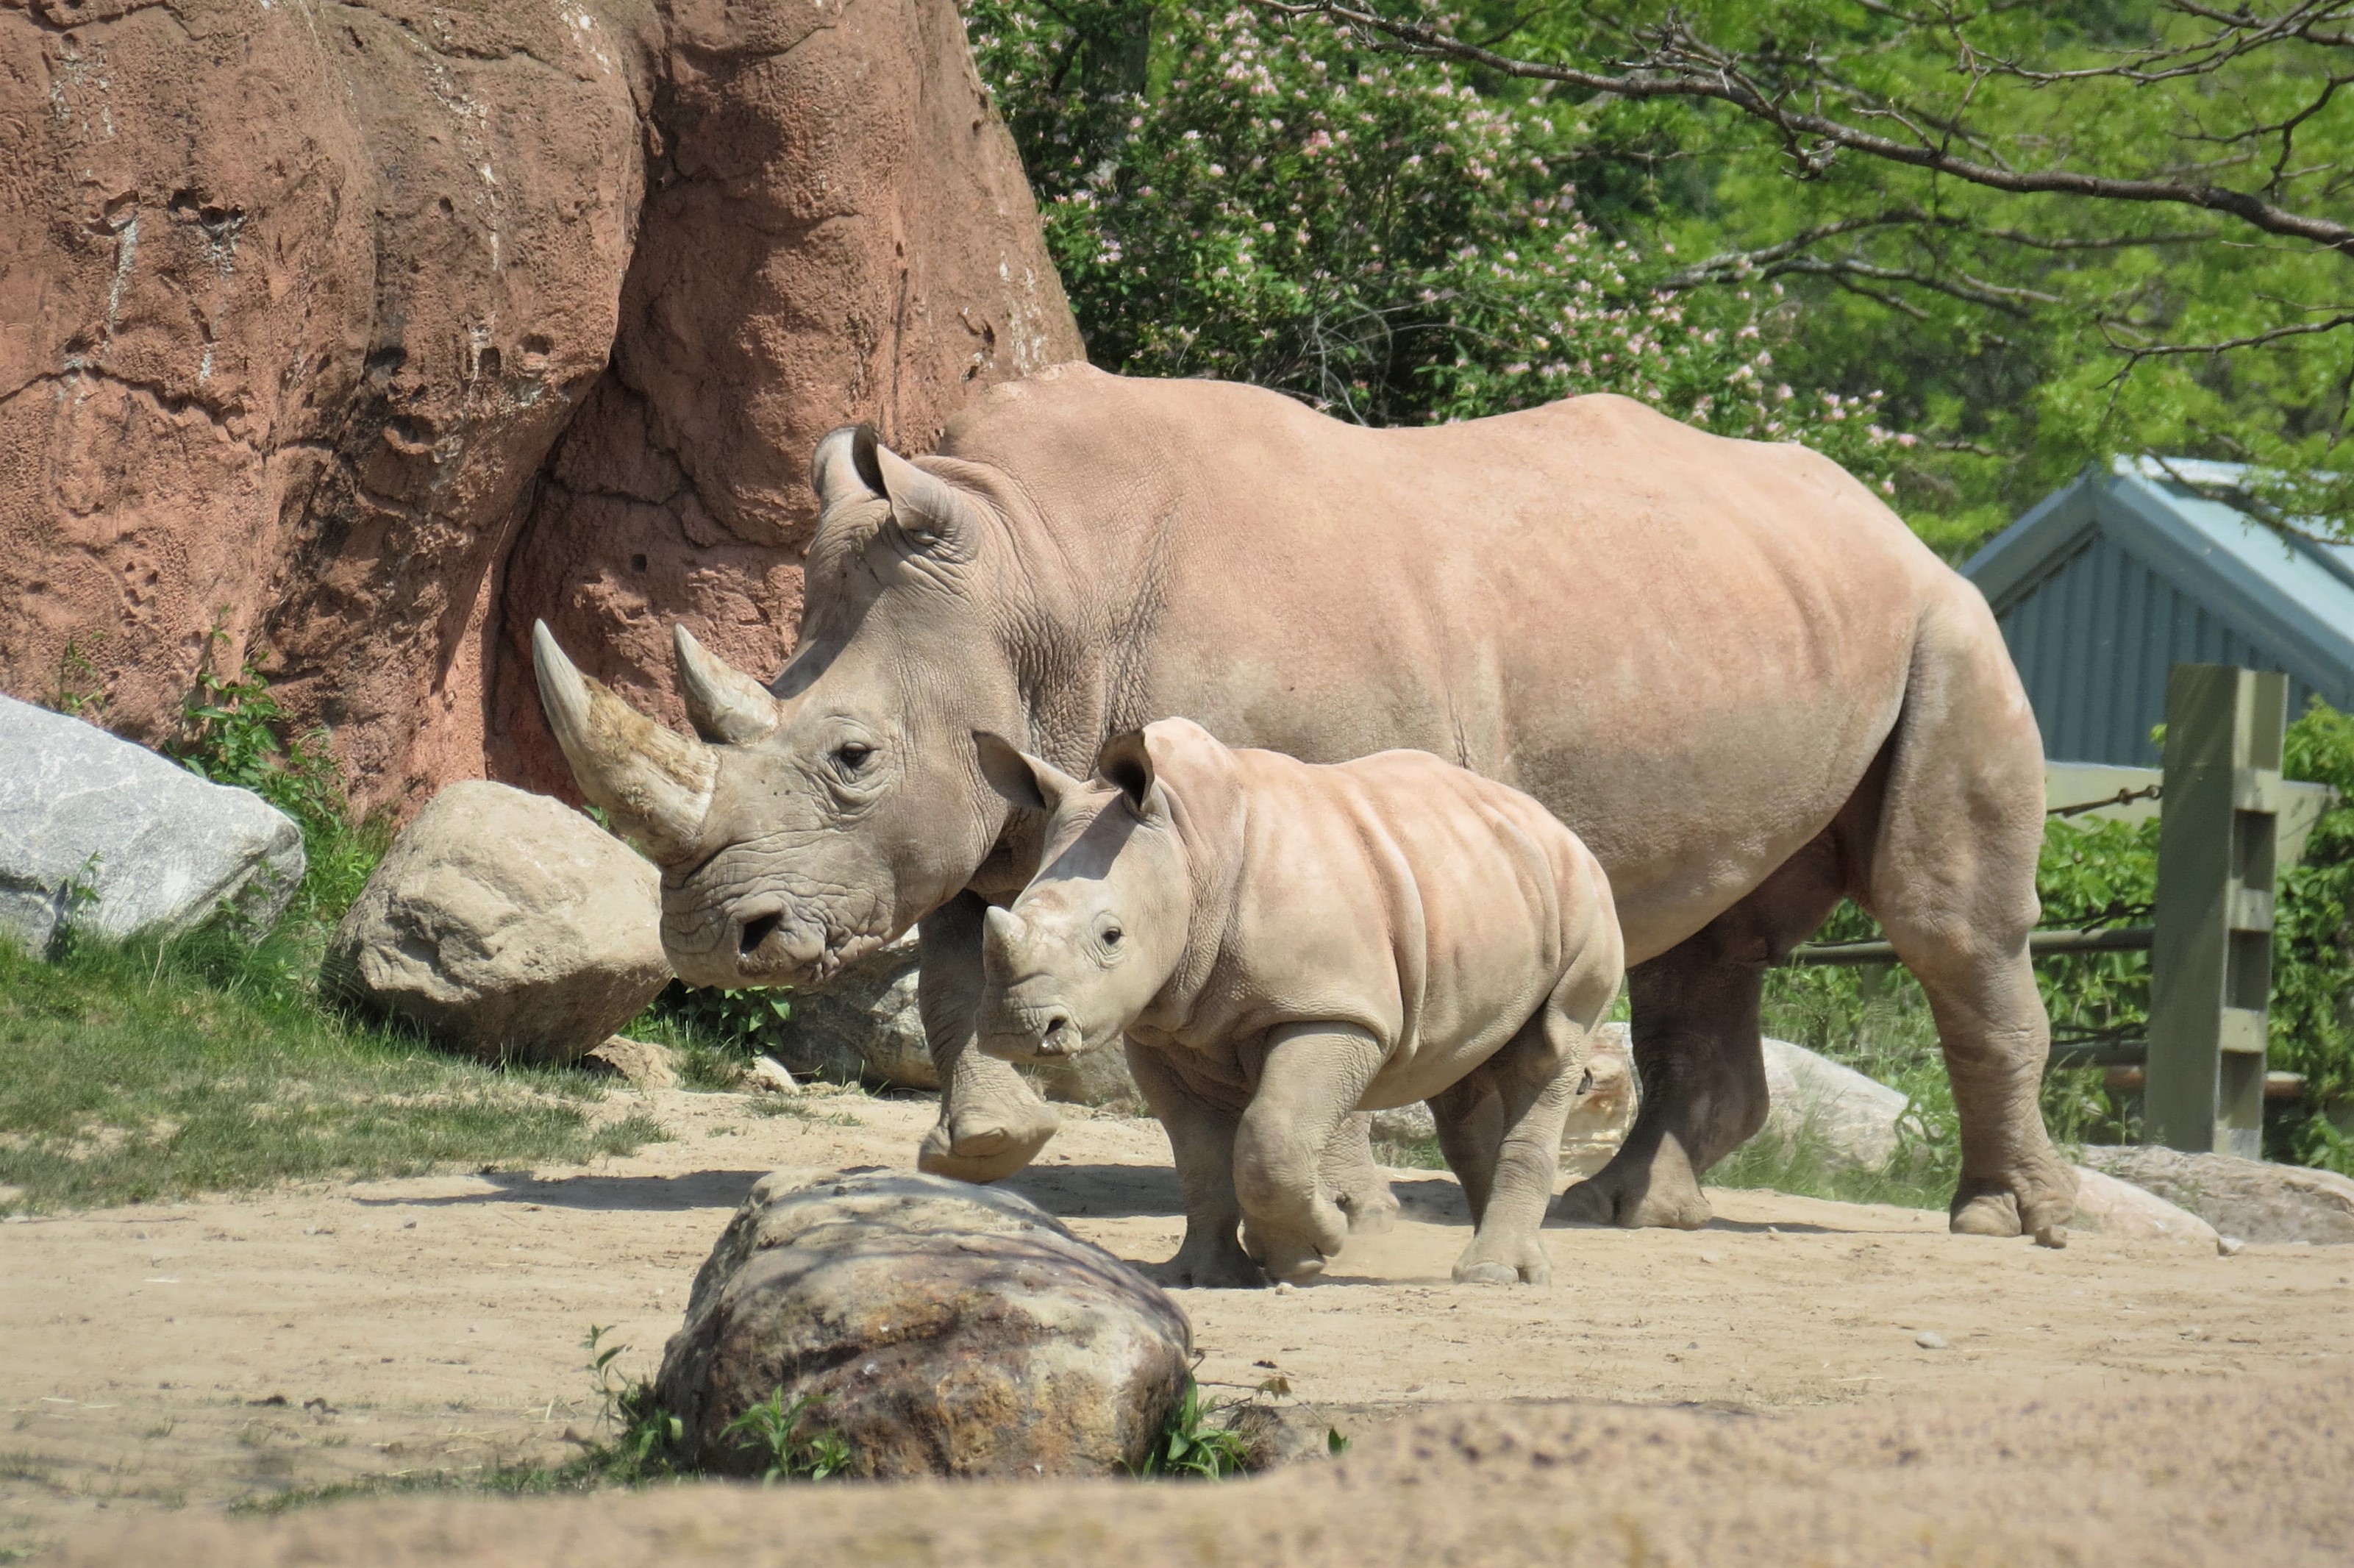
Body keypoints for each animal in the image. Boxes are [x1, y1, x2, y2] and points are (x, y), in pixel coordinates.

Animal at [972, 720, 1623, 1287]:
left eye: (1112, 937)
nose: (1016, 1029)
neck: (1190, 851)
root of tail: (1549, 821)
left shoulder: (1328, 1008)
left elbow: (1271, 1138)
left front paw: (1311, 1248)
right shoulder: (1164, 1029)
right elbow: (1199, 1158)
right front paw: (1205, 1276)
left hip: (1585, 898)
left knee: (1546, 1052)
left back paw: (1493, 1275)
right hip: (1482, 886)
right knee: (1464, 1073)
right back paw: (1513, 1259)